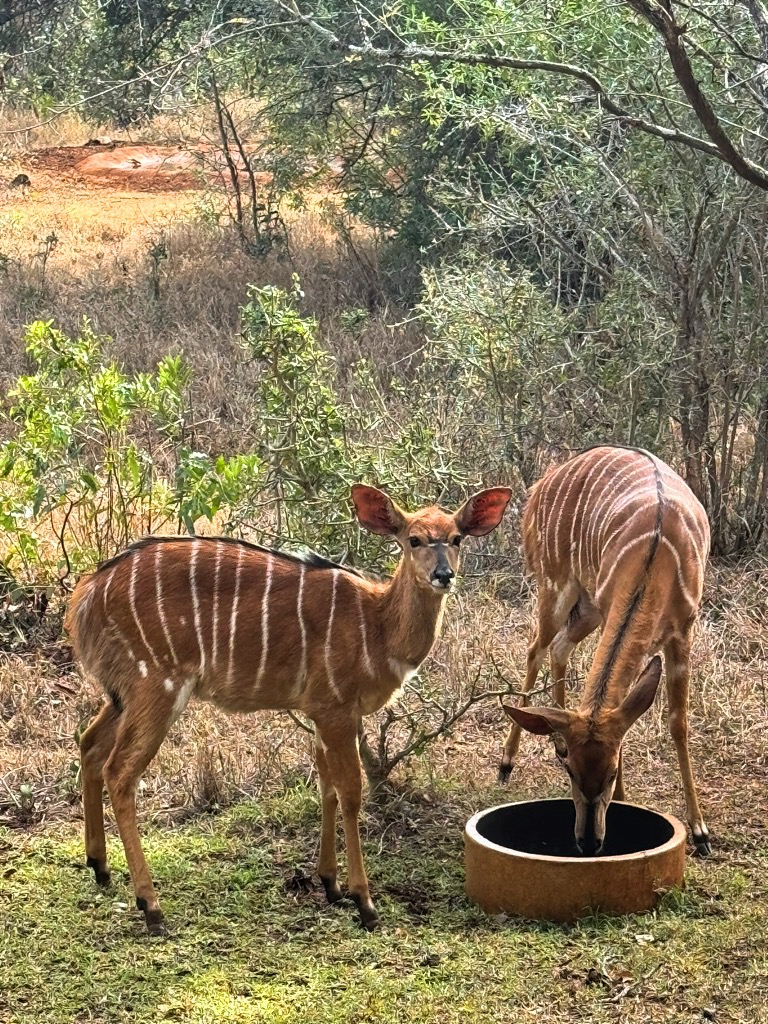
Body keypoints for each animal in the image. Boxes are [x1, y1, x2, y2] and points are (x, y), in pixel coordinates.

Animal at [66, 485, 512, 937]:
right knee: (120, 771)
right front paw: (364, 901)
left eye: (456, 538)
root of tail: (86, 595)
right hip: (157, 686)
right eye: (413, 539)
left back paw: (99, 866)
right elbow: (350, 792)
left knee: (89, 744)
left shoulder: (323, 713)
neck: (377, 625)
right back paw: (151, 906)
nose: (443, 575)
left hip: (123, 693)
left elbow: (326, 786)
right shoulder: (336, 710)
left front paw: (330, 884)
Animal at [501, 446, 712, 856]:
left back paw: (554, 732)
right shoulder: (613, 608)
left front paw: (700, 830)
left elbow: (677, 722)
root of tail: (543, 484)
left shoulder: (683, 632)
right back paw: (508, 760)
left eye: (611, 771)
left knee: (558, 647)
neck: (654, 563)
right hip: (559, 586)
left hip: (587, 608)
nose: (587, 841)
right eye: (572, 771)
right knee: (537, 647)